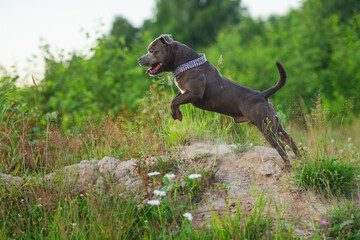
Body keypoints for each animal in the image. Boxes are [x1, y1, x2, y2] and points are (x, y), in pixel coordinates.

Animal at [139, 34, 300, 169]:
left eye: (152, 51)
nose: (139, 59)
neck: (185, 63)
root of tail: (262, 95)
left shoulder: (194, 94)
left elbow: (173, 102)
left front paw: (175, 114)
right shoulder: (184, 92)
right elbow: (174, 100)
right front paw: (177, 113)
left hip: (265, 125)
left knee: (280, 146)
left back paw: (288, 166)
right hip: (274, 123)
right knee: (288, 138)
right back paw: (300, 158)